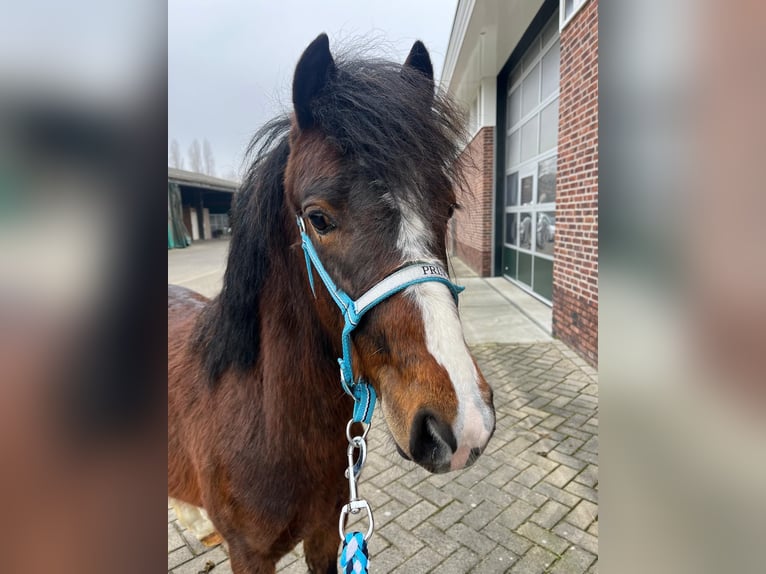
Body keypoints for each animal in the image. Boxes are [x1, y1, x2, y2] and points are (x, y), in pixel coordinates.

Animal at [168, 34, 496, 574]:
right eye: (318, 218)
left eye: (448, 207)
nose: (463, 422)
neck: (265, 422)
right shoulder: (250, 554)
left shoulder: (327, 534)